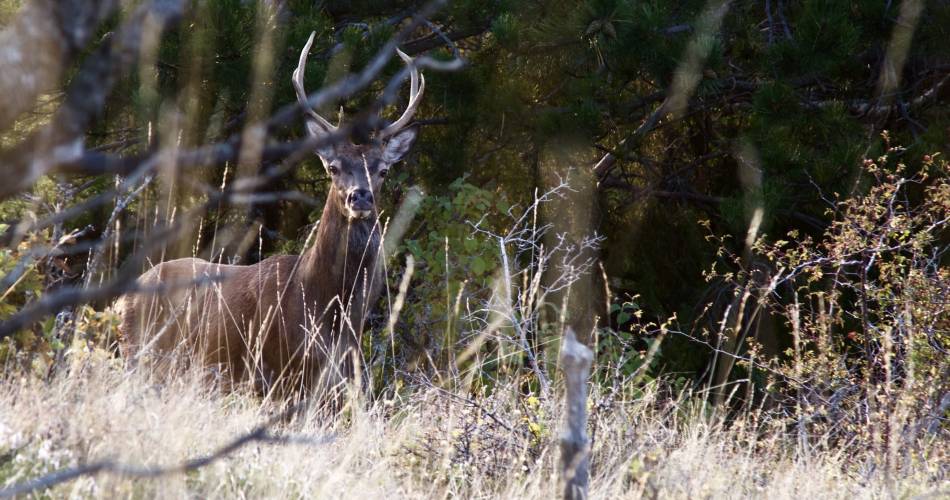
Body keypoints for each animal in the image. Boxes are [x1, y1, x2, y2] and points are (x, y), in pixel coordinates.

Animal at [116, 31, 424, 402]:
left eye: (382, 170)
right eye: (334, 168)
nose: (359, 195)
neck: (326, 304)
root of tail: (121, 299)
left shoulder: (341, 377)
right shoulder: (277, 373)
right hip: (143, 356)